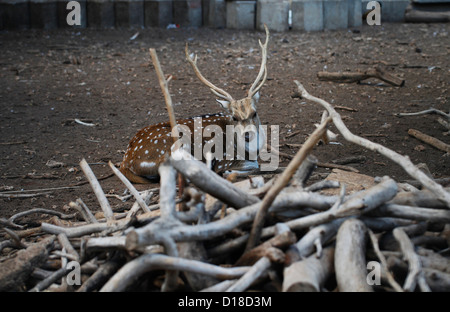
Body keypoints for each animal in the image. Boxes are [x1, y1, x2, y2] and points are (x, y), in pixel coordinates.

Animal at [118, 26, 268, 185]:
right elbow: (254, 166)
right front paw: (228, 172)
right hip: (174, 146)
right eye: (234, 117)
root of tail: (125, 162)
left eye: (254, 113)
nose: (248, 135)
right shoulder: (223, 159)